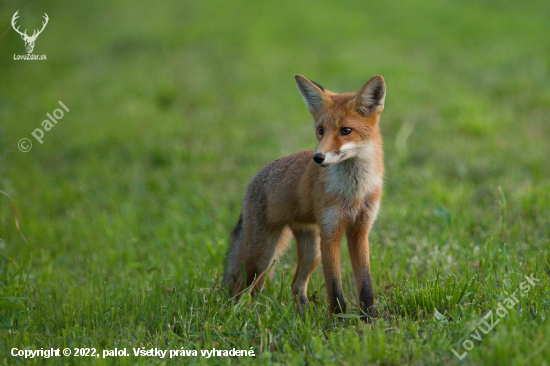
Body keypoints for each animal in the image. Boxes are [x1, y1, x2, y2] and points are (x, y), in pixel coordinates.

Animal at [224, 74, 388, 320]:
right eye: (320, 130)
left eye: (345, 130)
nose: (318, 157)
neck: (353, 192)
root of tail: (254, 178)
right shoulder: (330, 233)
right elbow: (335, 289)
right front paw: (337, 321)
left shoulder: (360, 231)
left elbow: (366, 286)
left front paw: (369, 319)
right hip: (262, 256)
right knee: (240, 289)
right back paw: (236, 316)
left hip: (310, 253)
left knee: (295, 285)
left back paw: (302, 317)